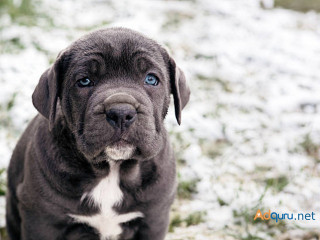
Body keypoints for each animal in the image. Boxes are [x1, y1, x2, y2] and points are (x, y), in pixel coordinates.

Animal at [5, 28, 190, 240]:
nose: (121, 112)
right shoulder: (42, 220)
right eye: (84, 81)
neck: (111, 169)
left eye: (151, 79)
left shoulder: (154, 219)